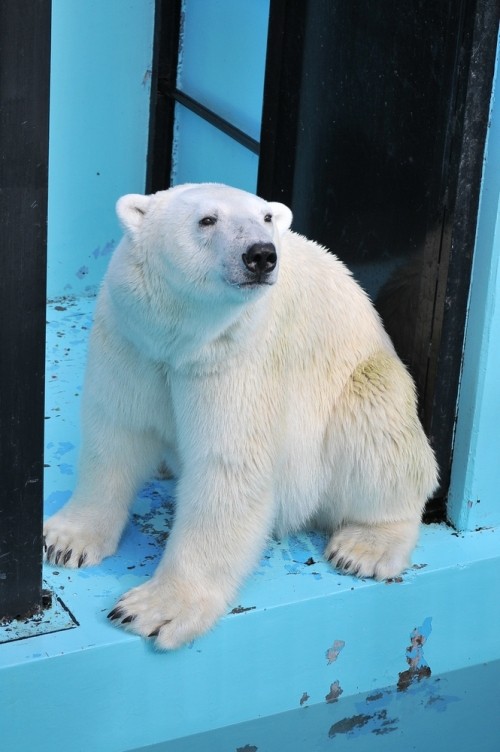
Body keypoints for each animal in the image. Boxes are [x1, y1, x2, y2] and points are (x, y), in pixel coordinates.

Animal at [46, 182, 438, 648]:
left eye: (266, 217)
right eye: (207, 219)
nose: (261, 254)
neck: (181, 341)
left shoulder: (238, 358)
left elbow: (228, 469)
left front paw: (150, 608)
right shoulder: (133, 340)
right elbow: (116, 433)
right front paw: (65, 541)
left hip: (362, 388)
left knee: (379, 428)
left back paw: (365, 546)